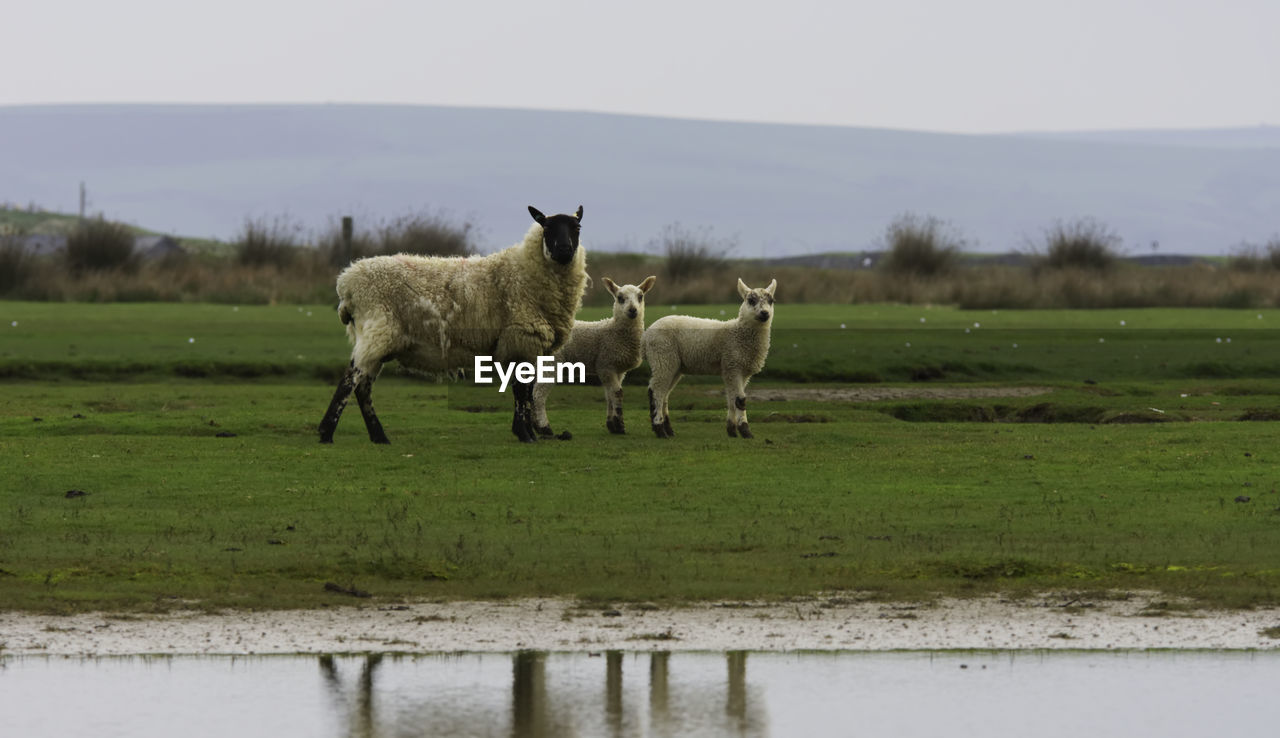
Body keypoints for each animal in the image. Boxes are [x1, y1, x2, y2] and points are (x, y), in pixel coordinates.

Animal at [317, 203, 586, 442]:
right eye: (546, 227)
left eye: (577, 227)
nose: (564, 249)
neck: (524, 272)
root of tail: (346, 283)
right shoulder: (521, 339)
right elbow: (521, 391)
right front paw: (525, 434)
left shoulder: (526, 346)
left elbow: (526, 391)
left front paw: (526, 432)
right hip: (377, 332)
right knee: (350, 380)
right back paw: (327, 433)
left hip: (378, 338)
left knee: (363, 386)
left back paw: (378, 436)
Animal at [529, 276, 655, 437]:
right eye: (620, 298)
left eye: (641, 296)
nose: (633, 310)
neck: (616, 332)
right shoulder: (606, 364)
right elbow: (617, 393)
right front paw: (620, 426)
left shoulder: (617, 369)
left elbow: (609, 395)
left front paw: (612, 424)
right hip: (551, 363)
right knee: (538, 395)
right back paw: (545, 428)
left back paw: (536, 425)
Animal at [645, 276, 773, 437]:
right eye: (751, 300)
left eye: (771, 301)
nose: (765, 313)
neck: (737, 333)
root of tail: (646, 335)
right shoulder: (733, 365)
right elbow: (740, 400)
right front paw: (746, 431)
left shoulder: (739, 371)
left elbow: (732, 399)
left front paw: (732, 430)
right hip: (662, 356)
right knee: (656, 391)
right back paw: (660, 430)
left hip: (674, 365)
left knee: (664, 394)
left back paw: (668, 430)